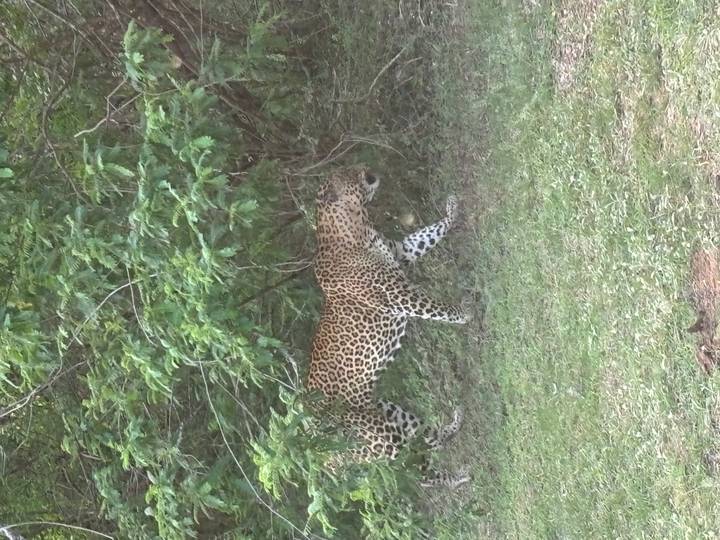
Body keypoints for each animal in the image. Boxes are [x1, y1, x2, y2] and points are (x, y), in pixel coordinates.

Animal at [307, 165, 471, 488]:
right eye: (349, 173)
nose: (366, 170)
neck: (358, 226)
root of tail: (319, 453)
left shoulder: (402, 252)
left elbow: (426, 236)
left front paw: (451, 210)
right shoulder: (398, 296)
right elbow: (436, 308)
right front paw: (462, 313)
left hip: (389, 411)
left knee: (428, 438)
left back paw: (454, 425)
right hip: (383, 438)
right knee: (418, 470)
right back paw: (456, 478)